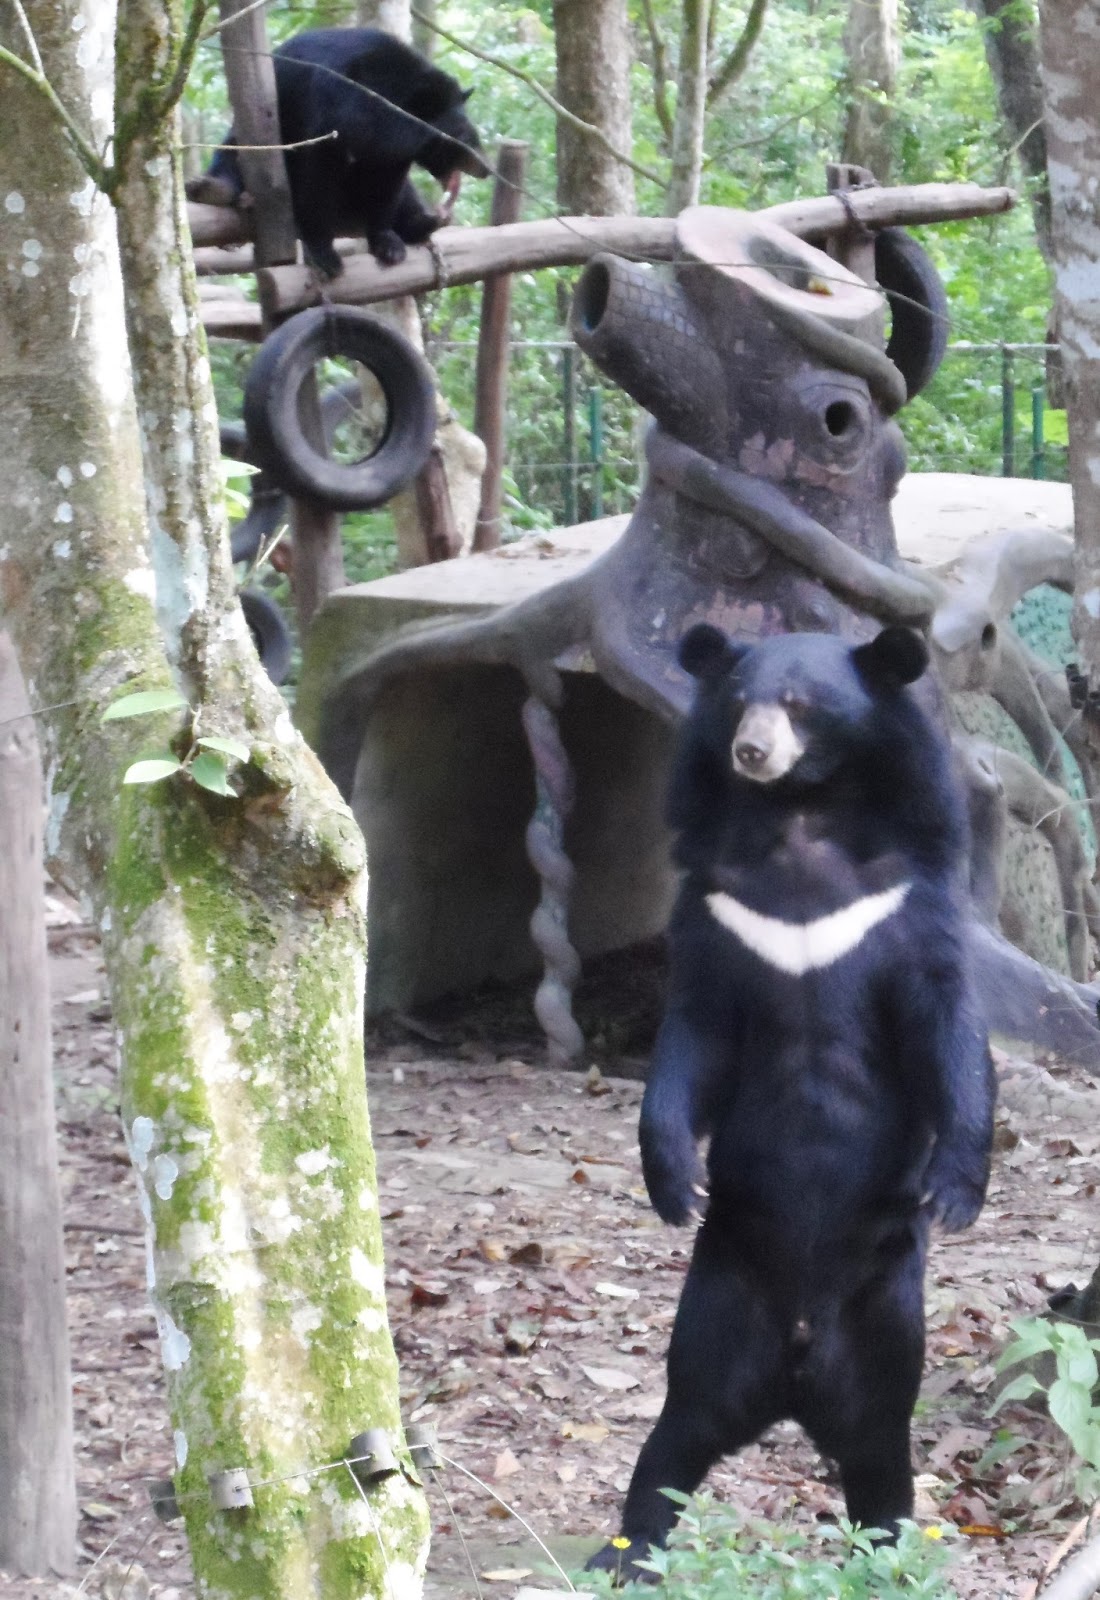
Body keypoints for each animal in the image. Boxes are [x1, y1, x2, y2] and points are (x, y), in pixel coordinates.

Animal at [189, 28, 489, 279]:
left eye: (473, 135)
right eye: (464, 137)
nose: (485, 168)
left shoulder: (391, 150)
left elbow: (388, 186)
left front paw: (389, 244)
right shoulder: (325, 111)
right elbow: (317, 176)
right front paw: (325, 256)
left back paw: (425, 222)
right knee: (233, 154)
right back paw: (215, 190)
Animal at [587, 623, 995, 1583]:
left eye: (804, 705)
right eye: (740, 701)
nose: (753, 752)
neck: (801, 825)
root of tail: (795, 1378)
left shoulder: (903, 901)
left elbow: (948, 1026)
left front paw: (956, 1190)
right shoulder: (719, 908)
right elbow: (692, 1035)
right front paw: (675, 1182)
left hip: (885, 1312)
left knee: (882, 1446)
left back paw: (887, 1561)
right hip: (721, 1297)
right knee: (679, 1431)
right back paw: (624, 1554)